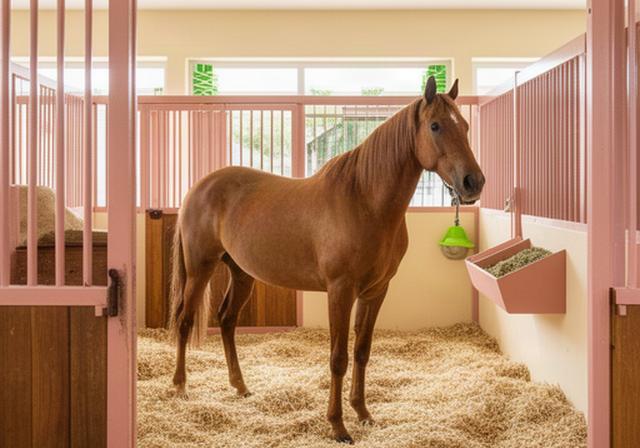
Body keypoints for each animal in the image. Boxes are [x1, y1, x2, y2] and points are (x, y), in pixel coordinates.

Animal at [169, 76, 485, 444]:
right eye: (435, 126)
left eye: (465, 126)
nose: (473, 182)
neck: (364, 201)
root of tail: (199, 187)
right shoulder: (340, 291)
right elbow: (339, 357)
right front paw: (338, 425)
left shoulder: (376, 291)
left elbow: (362, 351)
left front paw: (363, 412)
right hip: (199, 268)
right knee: (185, 320)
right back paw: (180, 387)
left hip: (242, 273)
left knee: (227, 320)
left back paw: (240, 386)